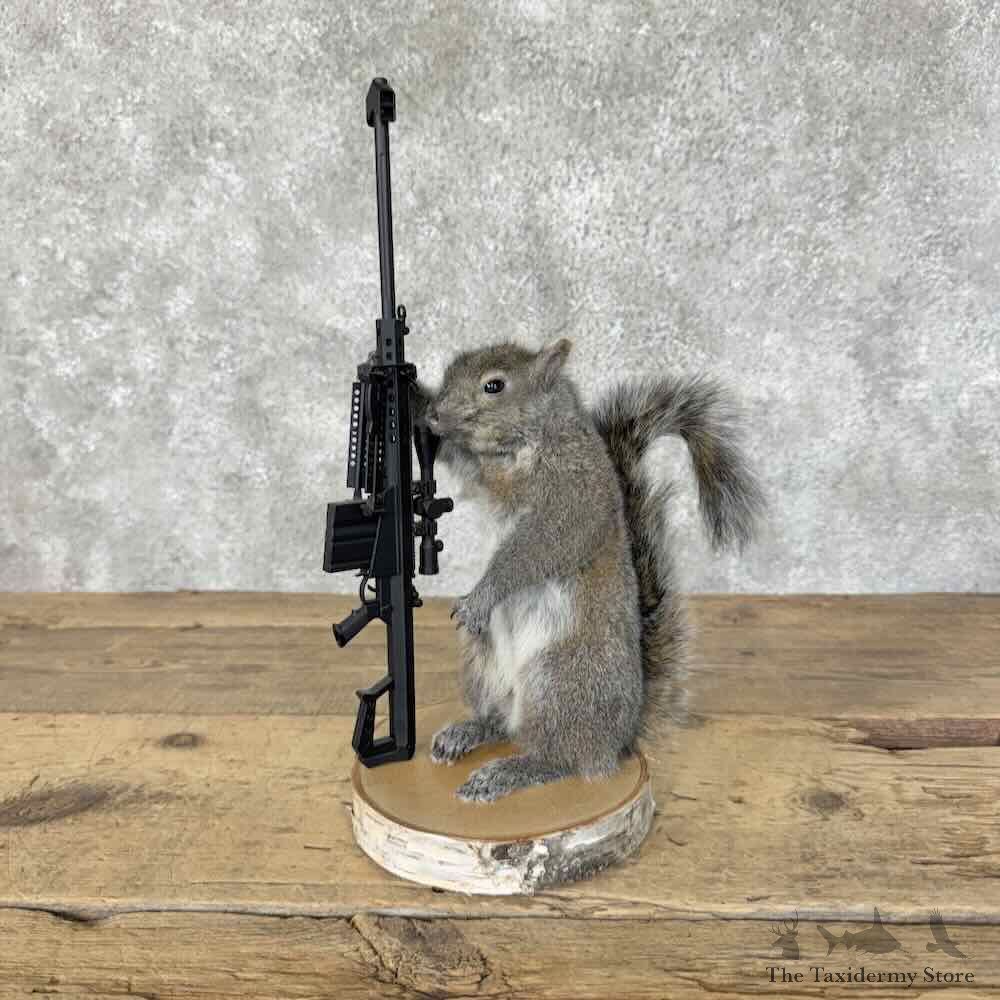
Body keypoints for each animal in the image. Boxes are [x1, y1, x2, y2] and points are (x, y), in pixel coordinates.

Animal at [417, 337, 763, 803]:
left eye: (494, 385)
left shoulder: (572, 498)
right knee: (502, 723)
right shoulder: (479, 468)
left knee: (562, 757)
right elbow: (455, 456)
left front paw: (481, 597)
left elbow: (532, 551)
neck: (526, 445)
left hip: (560, 682)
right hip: (483, 666)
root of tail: (620, 737)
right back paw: (468, 732)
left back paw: (508, 772)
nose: (434, 415)